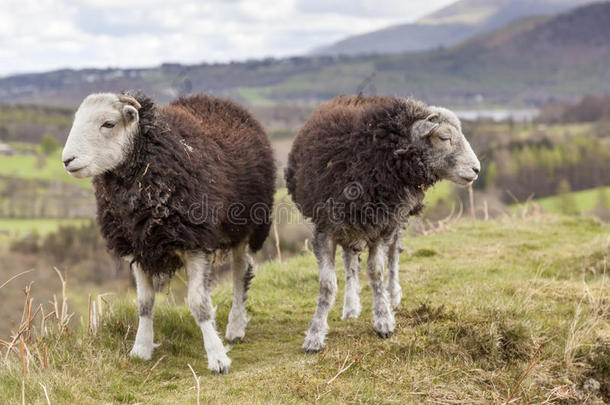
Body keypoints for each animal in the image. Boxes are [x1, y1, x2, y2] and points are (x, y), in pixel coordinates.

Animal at [61, 92, 276, 372]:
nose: (67, 160)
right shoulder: (138, 247)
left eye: (108, 124)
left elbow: (198, 304)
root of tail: (218, 100)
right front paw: (141, 348)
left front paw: (217, 356)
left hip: (245, 225)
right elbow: (145, 303)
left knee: (240, 272)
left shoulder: (194, 242)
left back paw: (235, 327)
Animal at [284, 94, 480, 350]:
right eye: (444, 138)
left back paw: (392, 294)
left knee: (393, 256)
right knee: (350, 262)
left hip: (394, 221)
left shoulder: (381, 227)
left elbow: (377, 272)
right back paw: (351, 305)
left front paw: (383, 319)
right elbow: (327, 285)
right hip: (351, 226)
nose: (477, 169)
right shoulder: (325, 229)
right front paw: (315, 334)